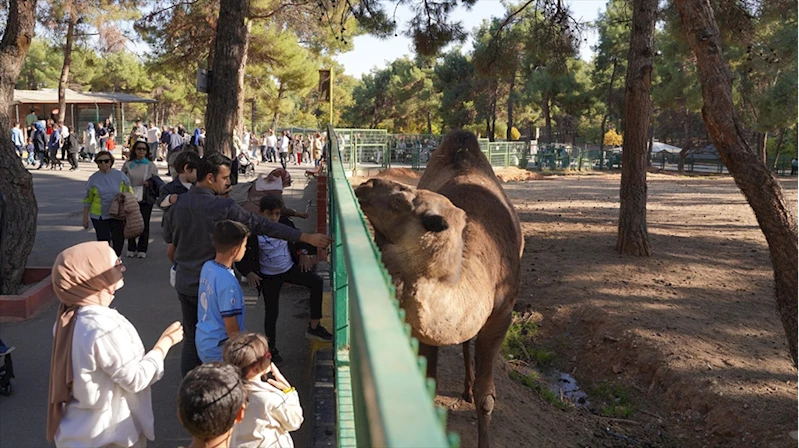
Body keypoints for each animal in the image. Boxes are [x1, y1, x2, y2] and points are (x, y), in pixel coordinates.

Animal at [358, 130, 524, 448]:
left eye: (400, 200)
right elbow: (429, 387)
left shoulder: (502, 314)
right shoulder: (424, 331)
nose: (367, 184)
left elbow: (486, 398)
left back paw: (468, 389)